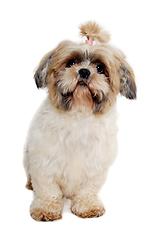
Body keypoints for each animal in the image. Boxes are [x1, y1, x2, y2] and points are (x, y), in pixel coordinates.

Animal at [23, 21, 136, 220]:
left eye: (100, 68)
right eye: (71, 63)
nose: (84, 71)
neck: (79, 114)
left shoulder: (95, 166)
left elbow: (88, 189)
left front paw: (87, 206)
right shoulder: (44, 162)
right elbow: (47, 189)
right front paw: (46, 208)